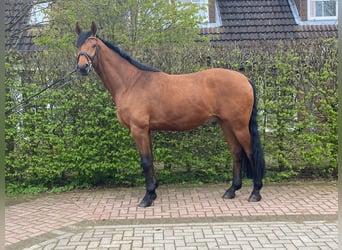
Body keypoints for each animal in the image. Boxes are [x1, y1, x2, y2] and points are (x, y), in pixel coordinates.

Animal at [76, 22, 266, 207]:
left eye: (94, 45)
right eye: (77, 45)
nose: (82, 67)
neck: (131, 83)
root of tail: (245, 79)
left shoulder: (138, 129)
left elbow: (145, 162)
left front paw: (147, 198)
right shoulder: (146, 130)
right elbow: (151, 160)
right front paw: (153, 192)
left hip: (239, 126)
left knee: (250, 152)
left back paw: (255, 192)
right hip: (226, 124)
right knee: (236, 152)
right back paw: (231, 190)